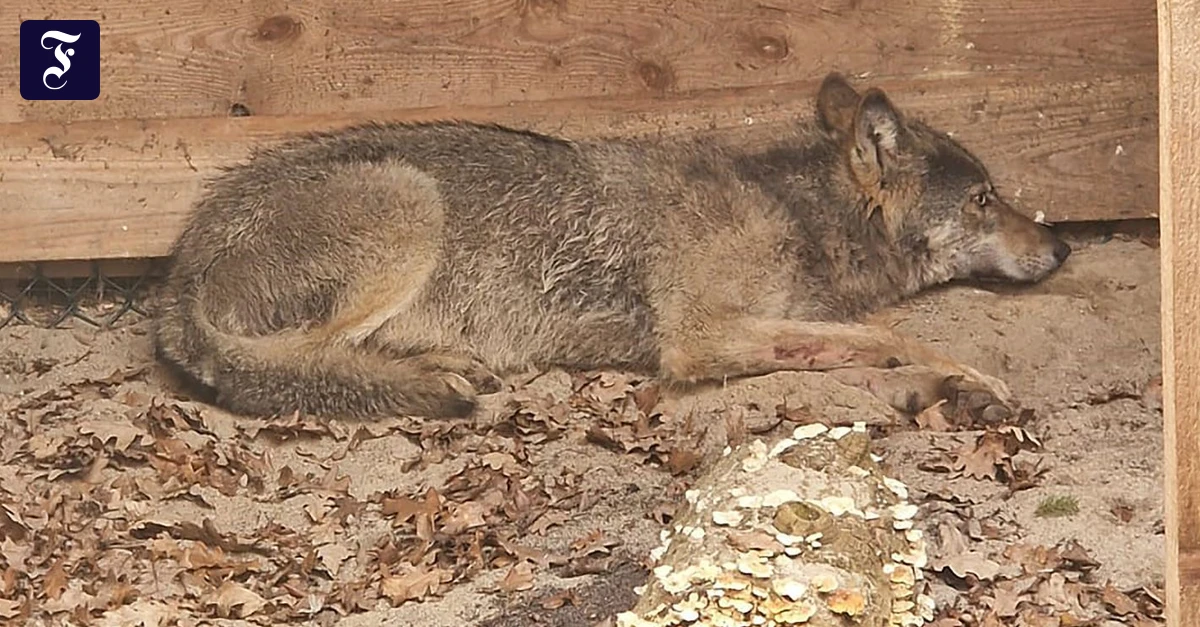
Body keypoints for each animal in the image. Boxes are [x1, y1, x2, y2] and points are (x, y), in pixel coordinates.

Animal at [152, 72, 1071, 422]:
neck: (793, 211)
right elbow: (892, 335)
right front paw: (969, 379)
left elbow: (856, 341)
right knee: (296, 364)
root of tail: (178, 271)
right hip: (410, 203)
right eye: (986, 199)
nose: (1062, 246)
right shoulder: (698, 337)